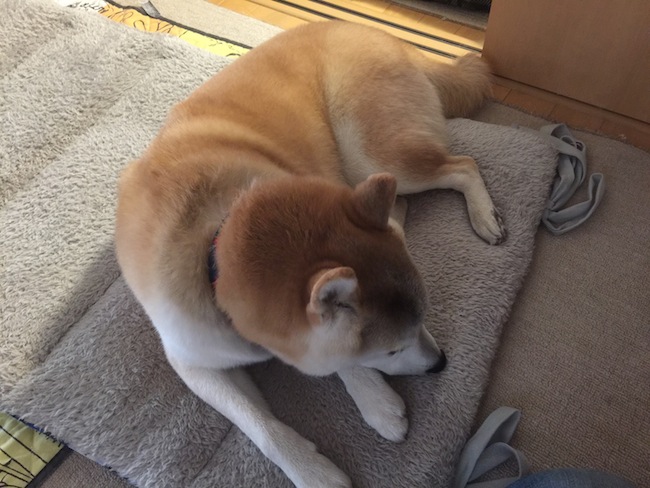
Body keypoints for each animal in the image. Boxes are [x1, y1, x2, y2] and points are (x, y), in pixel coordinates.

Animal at [115, 20, 504, 488]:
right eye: (392, 351)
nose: (441, 364)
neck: (215, 242)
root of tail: (383, 35)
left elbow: (337, 359)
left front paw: (374, 400)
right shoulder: (195, 362)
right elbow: (259, 425)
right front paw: (315, 470)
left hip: (375, 154)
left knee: (462, 166)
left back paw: (483, 215)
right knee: (409, 202)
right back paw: (401, 220)